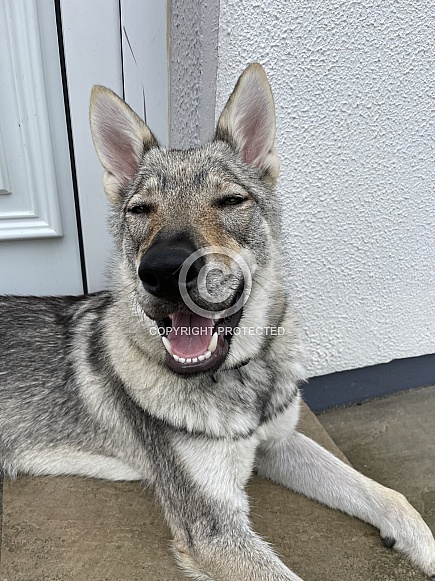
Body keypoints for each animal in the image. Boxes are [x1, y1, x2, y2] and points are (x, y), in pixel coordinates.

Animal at [0, 63, 435, 580]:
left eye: (229, 201)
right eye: (140, 210)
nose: (163, 271)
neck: (240, 381)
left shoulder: (279, 444)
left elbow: (387, 496)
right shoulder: (213, 528)